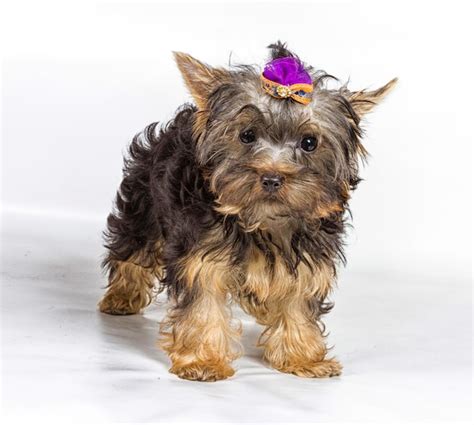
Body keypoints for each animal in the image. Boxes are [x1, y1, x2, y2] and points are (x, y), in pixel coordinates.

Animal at [99, 42, 396, 380]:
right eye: (247, 136)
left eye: (309, 142)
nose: (272, 177)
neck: (263, 221)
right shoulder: (201, 253)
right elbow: (204, 303)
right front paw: (203, 361)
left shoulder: (307, 257)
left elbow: (297, 301)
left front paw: (303, 357)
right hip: (144, 202)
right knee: (133, 246)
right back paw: (121, 297)